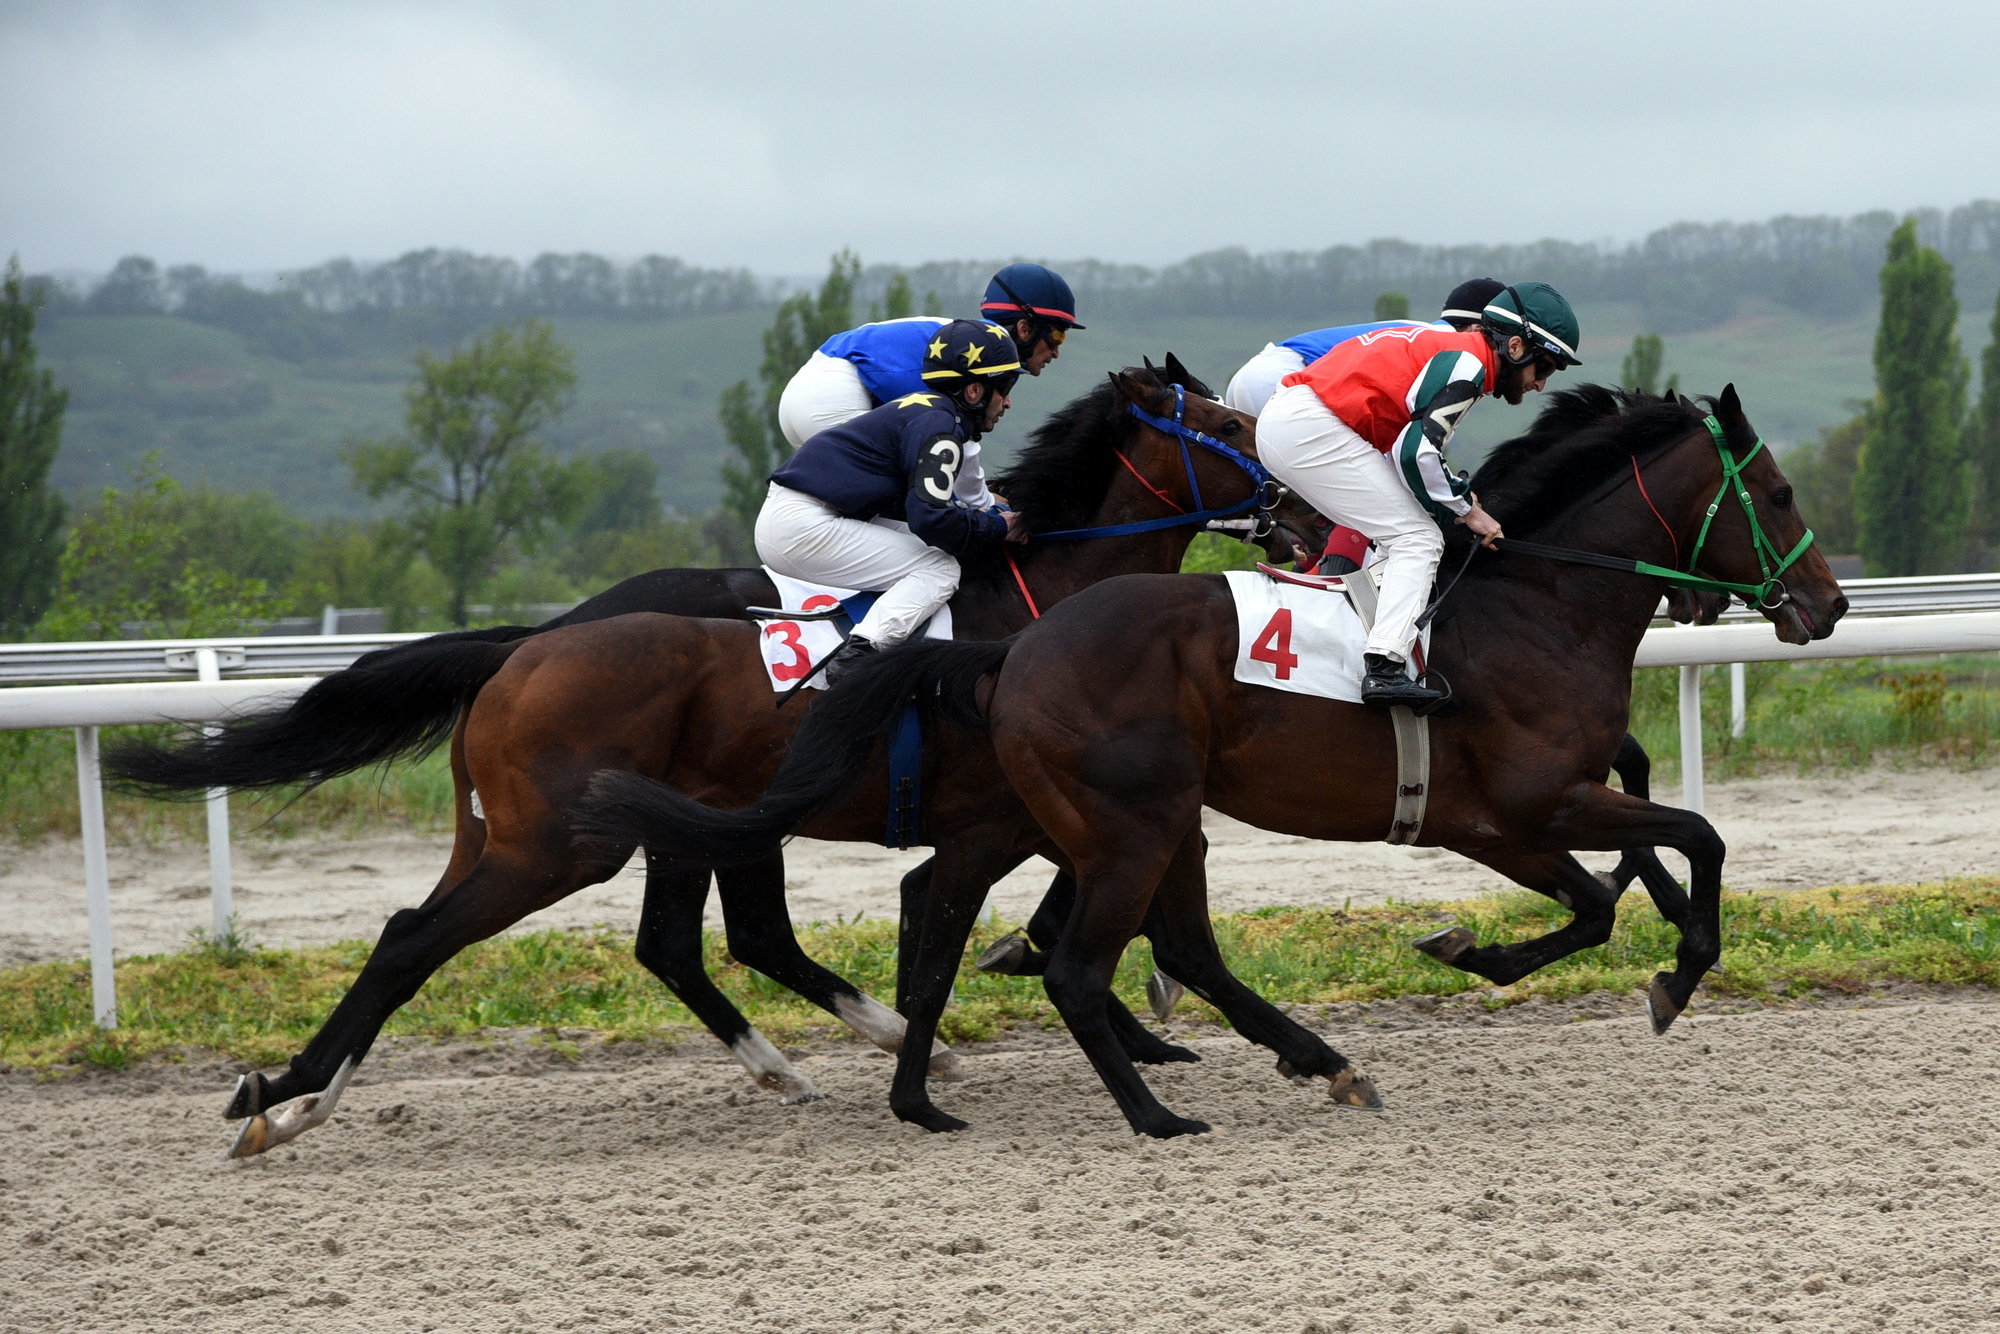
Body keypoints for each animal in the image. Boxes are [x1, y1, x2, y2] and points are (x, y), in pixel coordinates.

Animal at [109, 368, 1304, 1160]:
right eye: (1227, 424)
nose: (1298, 513)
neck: (1037, 602)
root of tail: (526, 646)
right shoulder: (1027, 808)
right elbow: (1041, 913)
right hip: (564, 844)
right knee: (425, 938)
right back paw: (292, 1096)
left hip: (616, 828)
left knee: (663, 941)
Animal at [584, 384, 1848, 1136]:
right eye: (1779, 490)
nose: (1827, 607)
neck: (1538, 604)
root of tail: (1016, 649)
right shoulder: (1522, 807)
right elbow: (1684, 842)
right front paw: (1666, 974)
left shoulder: (1504, 822)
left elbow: (1606, 889)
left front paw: (1476, 948)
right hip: (1129, 818)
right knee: (1067, 962)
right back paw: (1146, 1107)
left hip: (1135, 817)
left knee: (1078, 933)